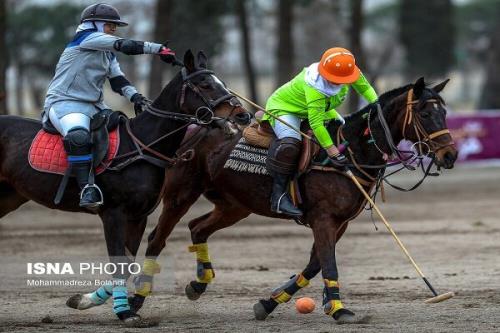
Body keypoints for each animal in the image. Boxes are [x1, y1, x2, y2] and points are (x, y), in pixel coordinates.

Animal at [0, 51, 249, 324]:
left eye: (223, 82)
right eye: (205, 84)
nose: (243, 116)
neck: (142, 145)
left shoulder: (138, 216)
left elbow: (127, 263)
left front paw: (86, 300)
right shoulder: (113, 213)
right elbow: (118, 263)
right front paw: (124, 311)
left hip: (9, 197)